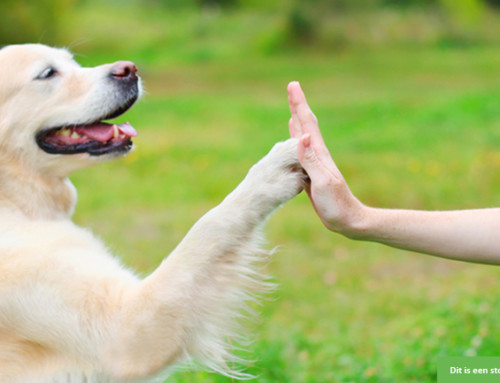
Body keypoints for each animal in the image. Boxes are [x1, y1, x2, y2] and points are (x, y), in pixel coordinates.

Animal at [0, 45, 304, 383]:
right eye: (47, 73)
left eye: (73, 61)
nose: (129, 69)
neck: (15, 201)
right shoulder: (125, 332)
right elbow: (210, 225)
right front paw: (273, 169)